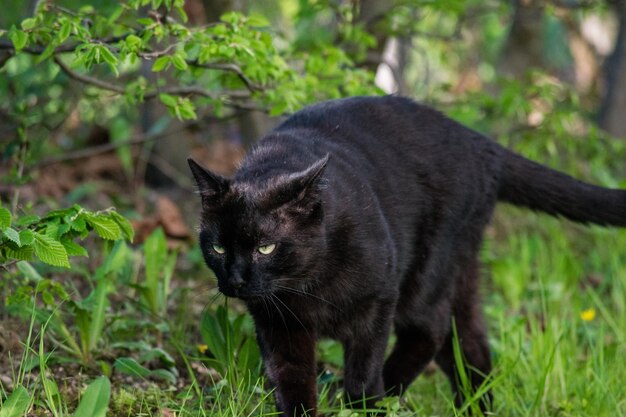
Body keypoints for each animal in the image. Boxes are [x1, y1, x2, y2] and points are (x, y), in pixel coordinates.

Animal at [186, 96, 624, 414]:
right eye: (218, 247)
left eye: (266, 247)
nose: (236, 279)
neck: (306, 287)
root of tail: (478, 142)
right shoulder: (278, 325)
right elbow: (291, 381)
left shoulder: (378, 302)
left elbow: (364, 371)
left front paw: (362, 405)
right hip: (459, 269)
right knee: (469, 341)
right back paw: (476, 408)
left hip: (426, 273)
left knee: (431, 329)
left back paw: (389, 390)